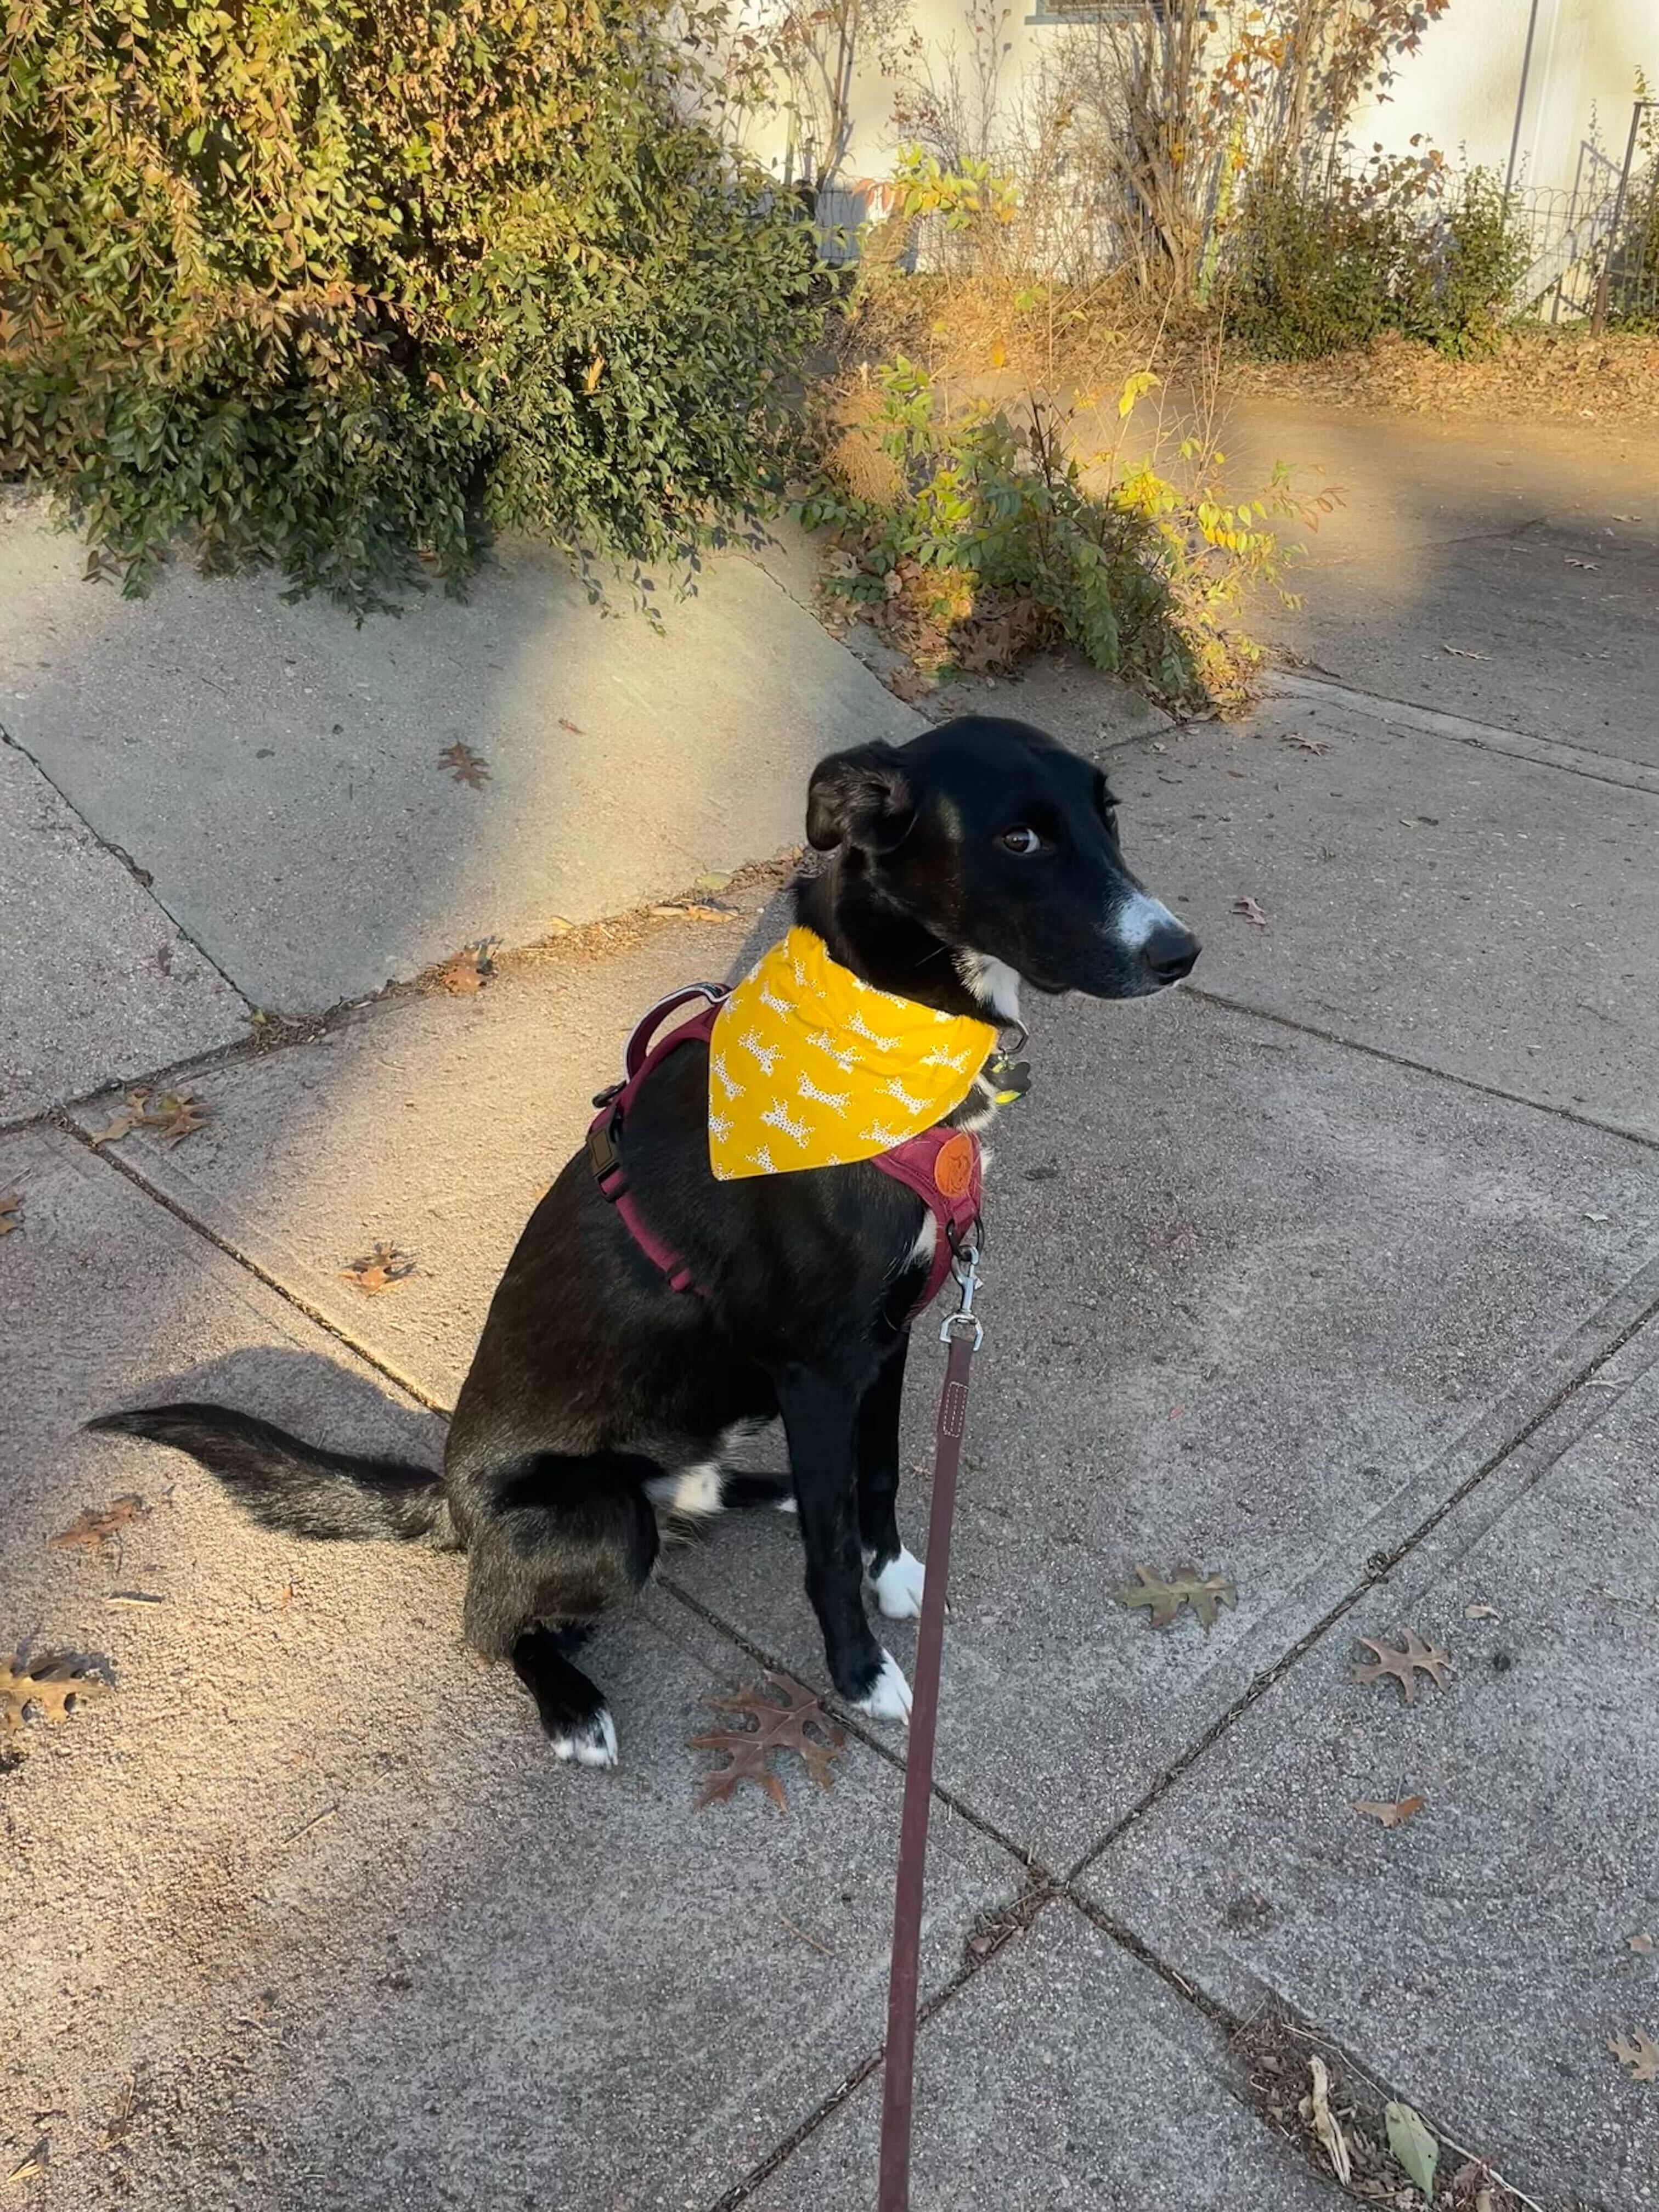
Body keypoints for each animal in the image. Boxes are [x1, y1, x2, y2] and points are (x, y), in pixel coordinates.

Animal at [91, 716, 1203, 1769]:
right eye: (1018, 838)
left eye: (1107, 814)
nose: (1179, 953)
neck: (885, 1023)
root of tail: (451, 1504)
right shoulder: (818, 1368)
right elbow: (831, 1555)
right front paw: (859, 1671)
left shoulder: (886, 1344)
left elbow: (880, 1479)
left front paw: (892, 1580)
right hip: (598, 1520)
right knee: (491, 1626)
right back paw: (571, 1705)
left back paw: (761, 1490)